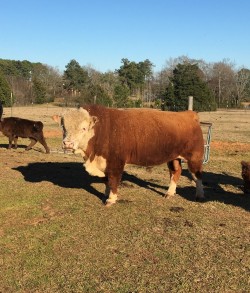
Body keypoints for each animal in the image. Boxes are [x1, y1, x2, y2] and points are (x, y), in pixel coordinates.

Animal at [52, 105, 205, 205]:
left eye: (83, 128)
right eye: (63, 127)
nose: (68, 144)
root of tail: (188, 114)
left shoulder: (116, 162)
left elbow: (113, 180)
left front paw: (111, 199)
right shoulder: (104, 162)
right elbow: (106, 180)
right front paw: (106, 194)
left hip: (195, 157)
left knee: (197, 176)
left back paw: (199, 195)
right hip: (173, 157)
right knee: (176, 172)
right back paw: (169, 193)